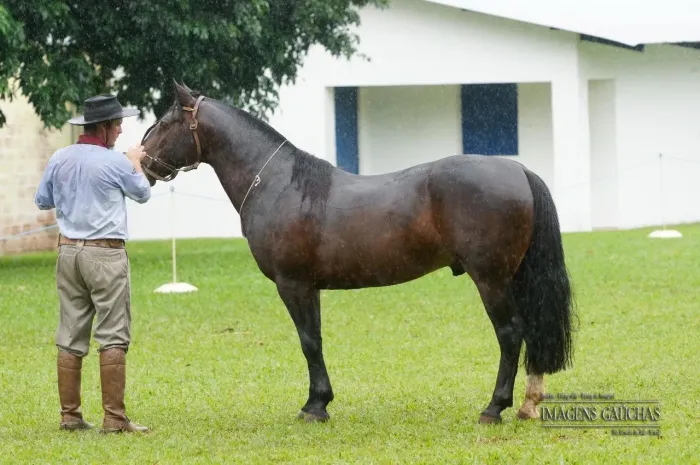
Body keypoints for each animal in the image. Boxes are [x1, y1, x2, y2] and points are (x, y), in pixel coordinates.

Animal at [139, 81, 575, 425]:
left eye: (165, 122)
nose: (141, 161)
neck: (282, 183)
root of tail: (518, 171)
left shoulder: (293, 284)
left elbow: (308, 342)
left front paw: (315, 407)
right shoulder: (309, 287)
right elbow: (315, 338)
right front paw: (320, 402)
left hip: (491, 278)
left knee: (510, 333)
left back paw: (494, 408)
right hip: (513, 277)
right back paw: (528, 405)